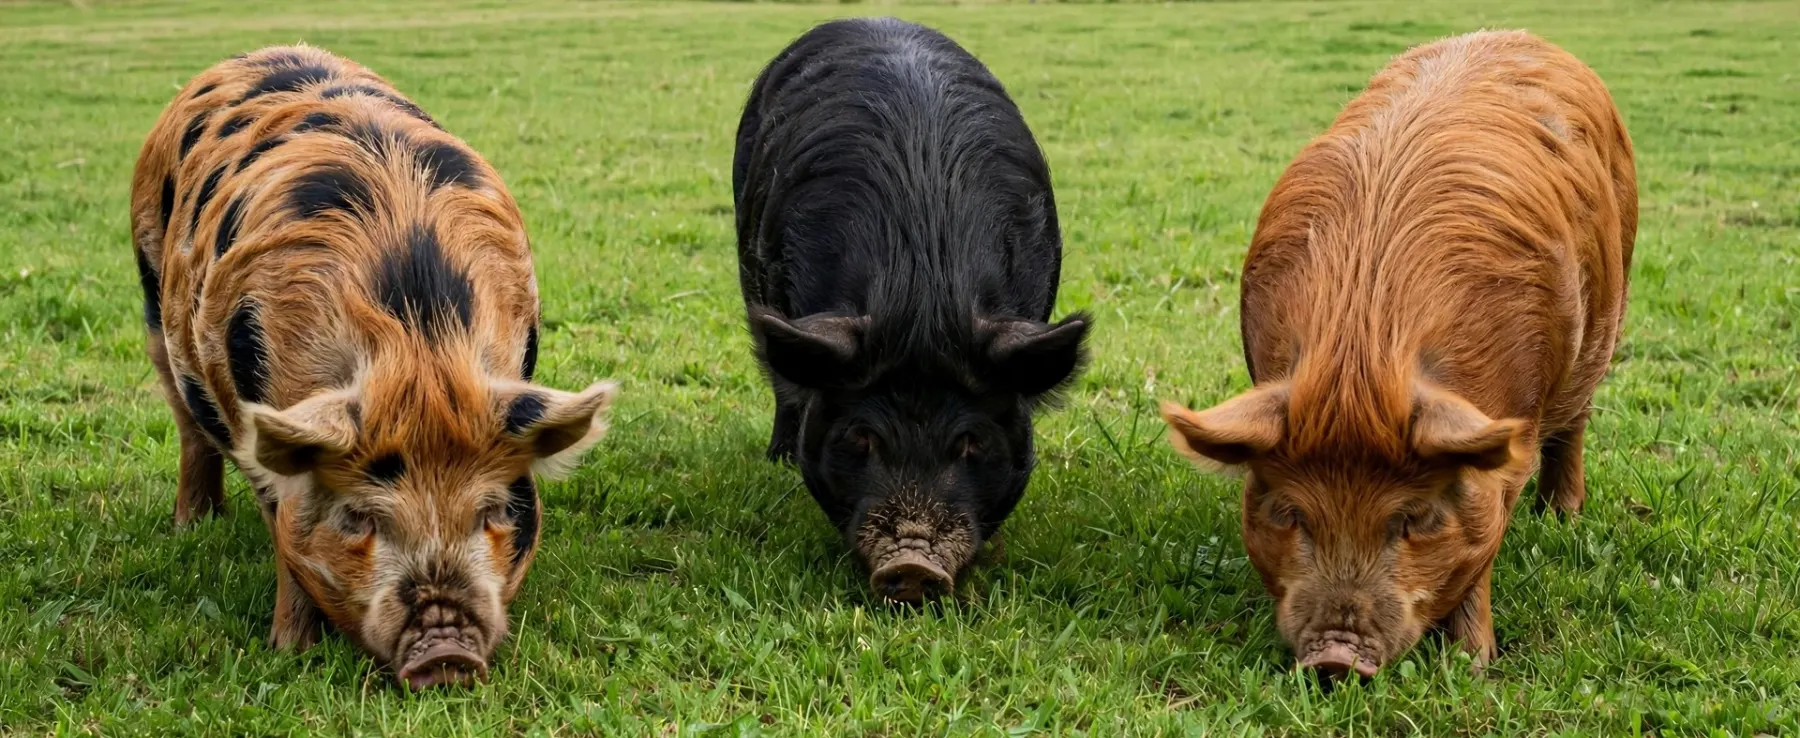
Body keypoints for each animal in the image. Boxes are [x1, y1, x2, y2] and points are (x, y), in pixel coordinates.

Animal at [129, 46, 618, 689]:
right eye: (359, 517)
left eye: (490, 511)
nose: (446, 654)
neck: (417, 345)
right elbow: (285, 538)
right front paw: (290, 652)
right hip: (150, 297)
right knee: (190, 430)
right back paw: (195, 526)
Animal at [1161, 30, 1636, 677]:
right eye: (1290, 513)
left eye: (1416, 518)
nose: (1336, 659)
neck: (1361, 360)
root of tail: (1519, 34)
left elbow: (1482, 553)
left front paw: (1472, 667)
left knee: (1575, 426)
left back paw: (1561, 519)